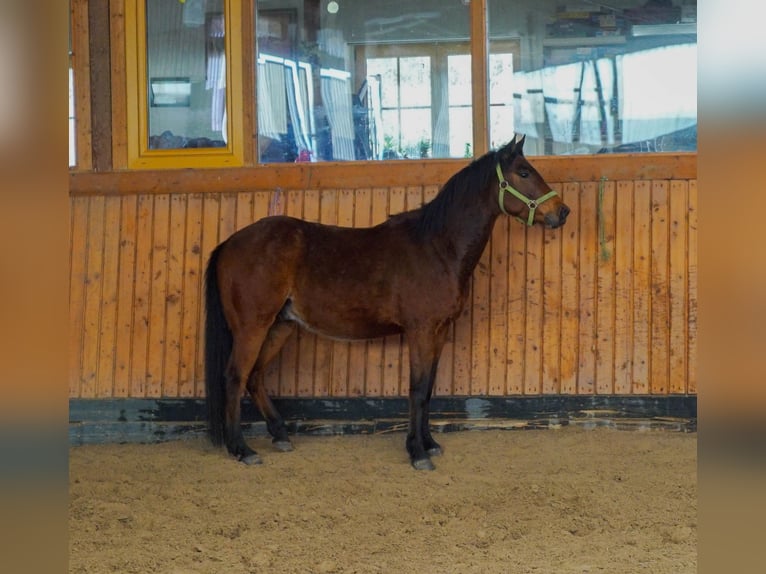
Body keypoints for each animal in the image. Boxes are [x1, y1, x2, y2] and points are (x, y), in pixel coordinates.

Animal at [204, 136, 568, 472]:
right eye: (524, 171)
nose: (562, 212)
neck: (437, 247)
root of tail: (229, 243)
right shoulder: (420, 331)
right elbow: (417, 390)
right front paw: (418, 453)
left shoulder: (438, 332)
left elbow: (428, 390)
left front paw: (429, 443)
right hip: (252, 327)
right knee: (235, 376)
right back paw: (242, 449)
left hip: (280, 326)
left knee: (255, 376)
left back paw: (279, 435)